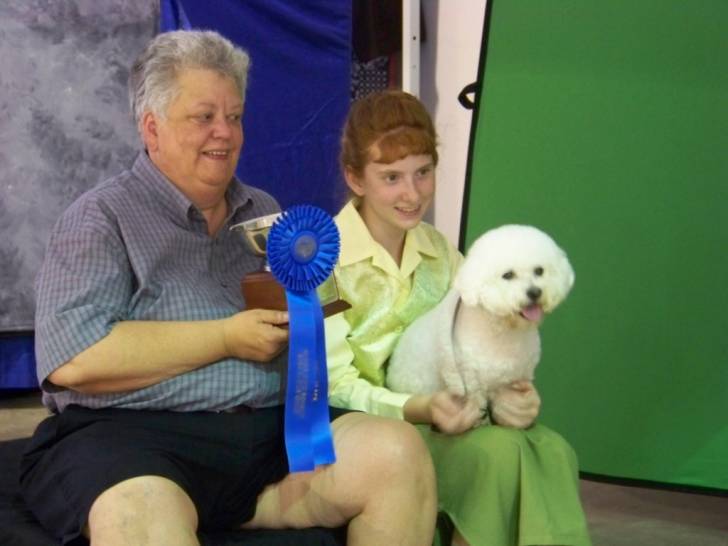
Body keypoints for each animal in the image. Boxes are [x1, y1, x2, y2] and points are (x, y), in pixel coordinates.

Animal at [386, 224, 574, 415]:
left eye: (539, 271)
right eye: (508, 275)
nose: (535, 292)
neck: (502, 329)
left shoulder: (517, 379)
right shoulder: (471, 380)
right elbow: (476, 401)